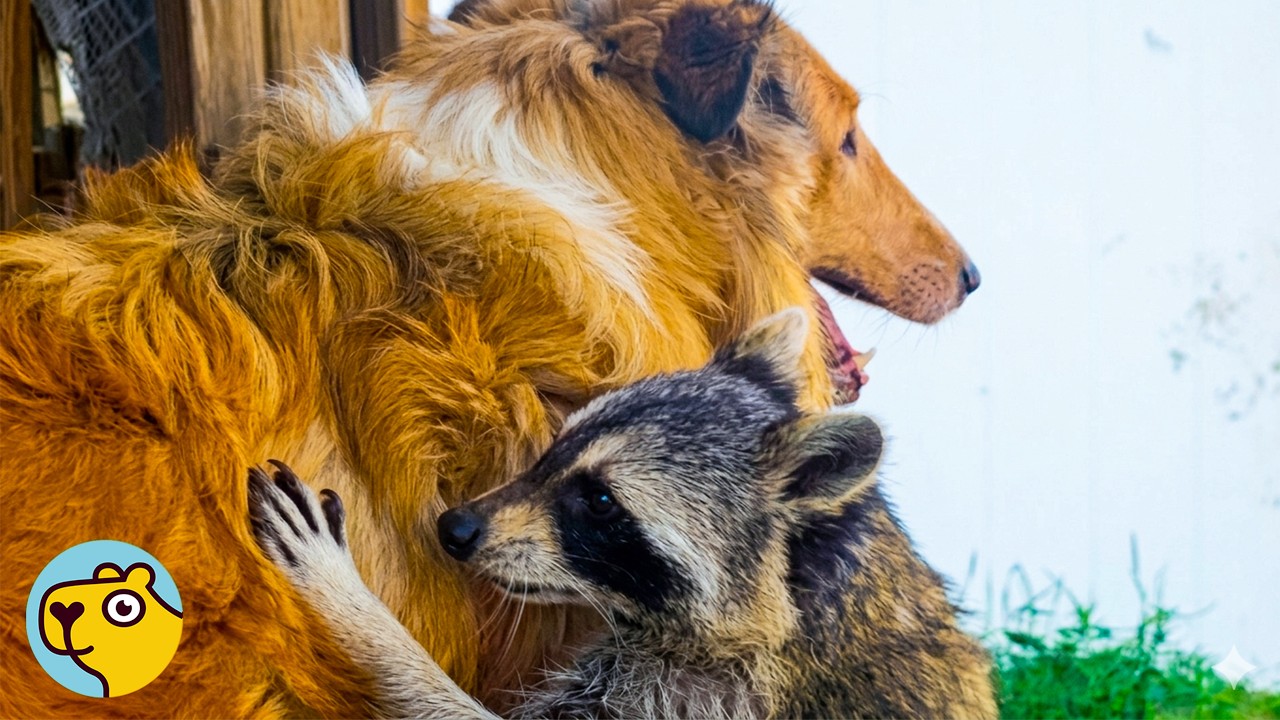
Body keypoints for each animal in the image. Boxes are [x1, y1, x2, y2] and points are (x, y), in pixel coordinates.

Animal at [248, 309, 996, 719]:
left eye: (601, 501)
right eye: (556, 446)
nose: (455, 528)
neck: (806, 587)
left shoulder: (707, 696)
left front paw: (353, 608)